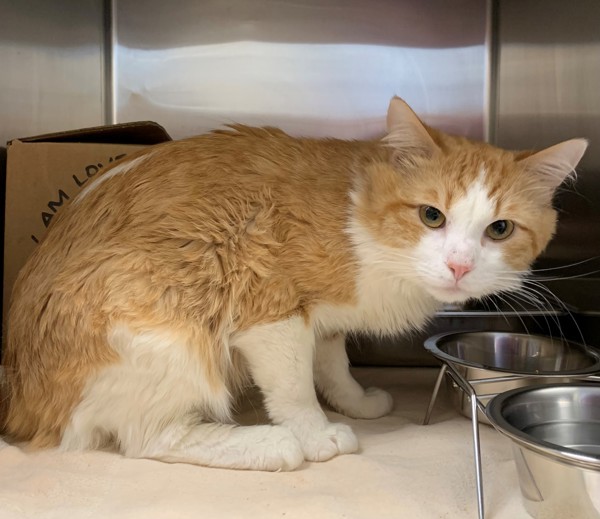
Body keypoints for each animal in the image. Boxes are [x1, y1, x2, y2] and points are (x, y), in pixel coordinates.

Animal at [2, 96, 588, 472]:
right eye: (431, 216)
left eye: (500, 229)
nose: (460, 266)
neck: (355, 215)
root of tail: (20, 398)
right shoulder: (270, 309)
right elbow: (295, 388)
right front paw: (317, 433)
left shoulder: (323, 320)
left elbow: (334, 365)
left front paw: (355, 402)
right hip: (167, 332)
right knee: (147, 439)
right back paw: (270, 445)